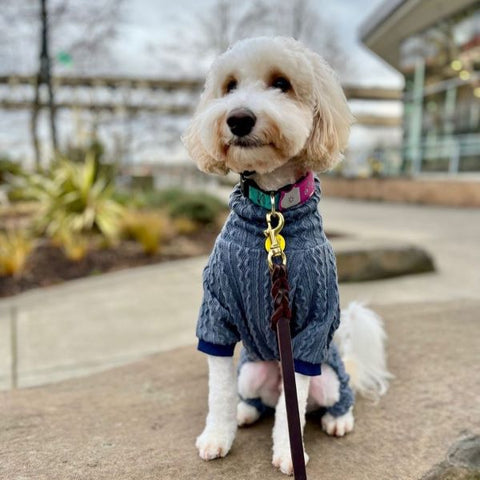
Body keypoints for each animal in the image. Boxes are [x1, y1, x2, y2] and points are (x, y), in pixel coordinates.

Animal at [182, 36, 392, 476]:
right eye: (229, 87)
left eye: (281, 83)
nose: (238, 119)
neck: (271, 210)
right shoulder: (215, 313)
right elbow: (218, 390)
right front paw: (217, 436)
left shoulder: (310, 325)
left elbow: (290, 409)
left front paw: (287, 452)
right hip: (251, 371)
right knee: (257, 397)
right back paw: (246, 411)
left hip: (329, 377)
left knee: (325, 400)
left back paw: (339, 419)